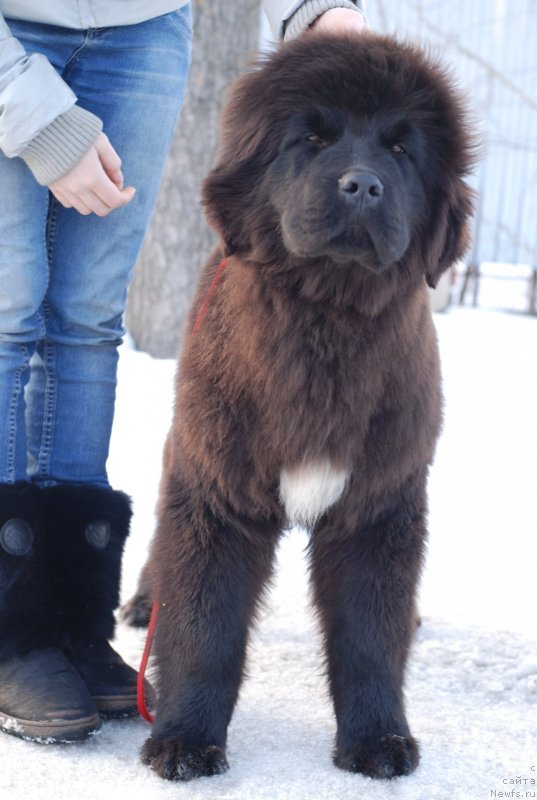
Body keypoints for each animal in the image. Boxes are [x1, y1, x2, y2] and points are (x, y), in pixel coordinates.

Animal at [136, 32, 476, 780]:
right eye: (311, 139)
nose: (362, 184)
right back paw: (144, 600)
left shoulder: (378, 505)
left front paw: (378, 739)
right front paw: (184, 739)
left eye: (401, 149)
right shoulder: (217, 492)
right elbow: (202, 624)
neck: (326, 323)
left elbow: (370, 636)